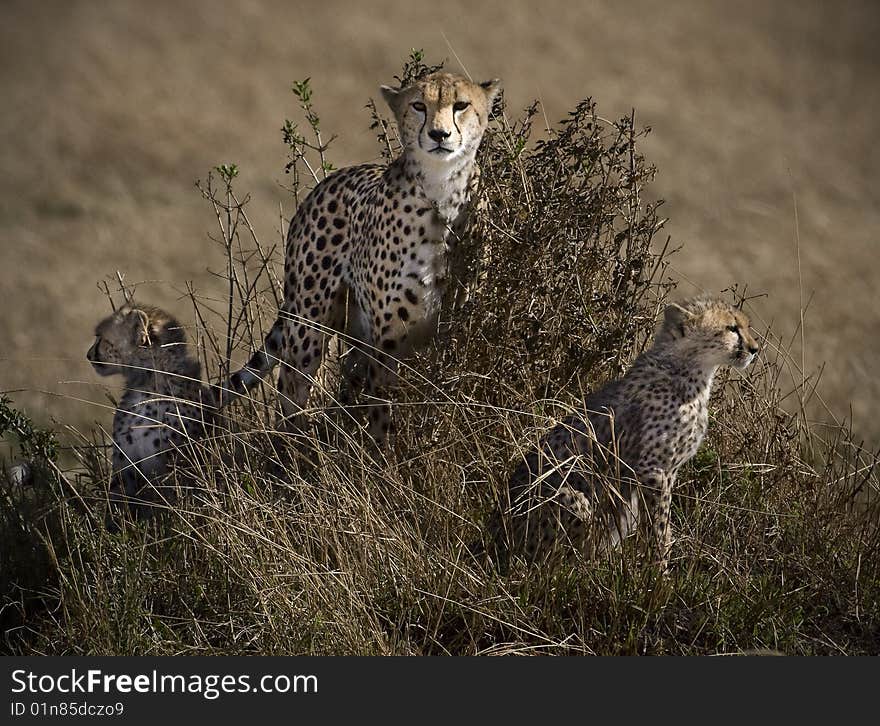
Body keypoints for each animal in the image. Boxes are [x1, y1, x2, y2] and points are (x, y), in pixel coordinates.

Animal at [87, 302, 211, 524]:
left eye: (100, 337)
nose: (88, 355)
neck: (149, 383)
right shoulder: (125, 462)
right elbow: (118, 502)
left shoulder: (176, 464)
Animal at [217, 72, 498, 444]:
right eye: (418, 105)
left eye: (461, 105)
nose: (439, 134)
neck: (442, 191)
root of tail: (325, 183)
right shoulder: (389, 334)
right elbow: (382, 406)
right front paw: (382, 452)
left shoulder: (455, 321)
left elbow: (443, 390)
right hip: (309, 322)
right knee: (291, 388)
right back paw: (294, 449)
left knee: (345, 383)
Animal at [492, 298, 760, 572]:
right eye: (731, 328)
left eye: (745, 326)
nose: (755, 349)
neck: (687, 369)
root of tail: (494, 538)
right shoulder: (653, 470)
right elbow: (657, 530)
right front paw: (658, 575)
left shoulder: (668, 472)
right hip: (567, 497)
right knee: (549, 566)